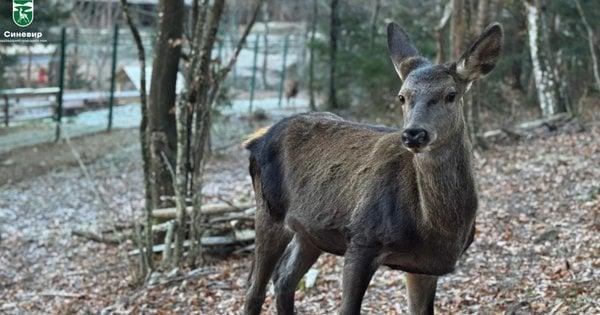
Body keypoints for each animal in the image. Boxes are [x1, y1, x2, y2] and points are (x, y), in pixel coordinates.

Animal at [243, 21, 502, 314]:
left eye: (451, 94)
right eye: (402, 97)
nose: (414, 134)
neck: (434, 228)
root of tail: (255, 139)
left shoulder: (425, 266)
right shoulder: (361, 239)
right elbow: (347, 308)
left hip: (309, 231)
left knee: (284, 279)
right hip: (269, 211)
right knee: (254, 288)